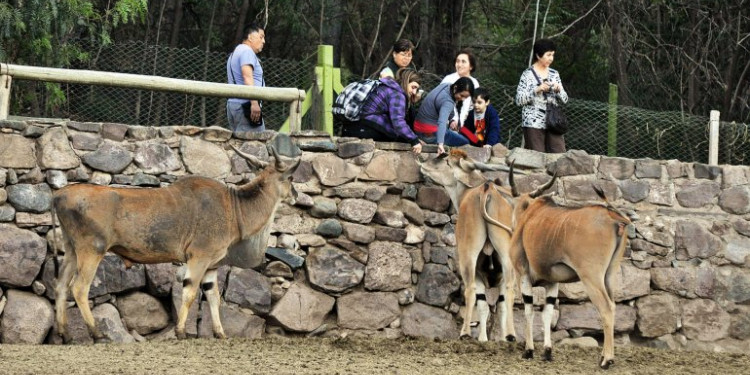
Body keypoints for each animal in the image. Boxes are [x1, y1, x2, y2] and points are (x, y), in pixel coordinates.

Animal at [53, 145, 302, 342]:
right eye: (290, 178)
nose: (296, 196)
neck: (234, 206)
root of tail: (59, 195)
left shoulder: (211, 265)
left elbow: (213, 296)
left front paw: (220, 333)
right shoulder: (199, 257)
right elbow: (190, 292)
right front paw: (181, 332)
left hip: (72, 251)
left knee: (61, 286)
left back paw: (65, 334)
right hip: (92, 250)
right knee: (79, 288)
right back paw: (96, 334)